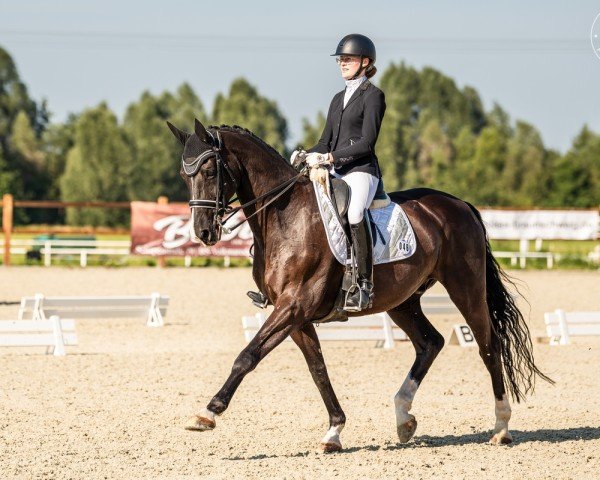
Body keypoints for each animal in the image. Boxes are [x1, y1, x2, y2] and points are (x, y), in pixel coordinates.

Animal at [166, 118, 552, 452]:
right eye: (184, 176)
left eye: (210, 171)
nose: (203, 232)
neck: (285, 218)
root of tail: (461, 205)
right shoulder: (296, 315)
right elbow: (318, 370)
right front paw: (334, 431)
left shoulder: (294, 306)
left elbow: (247, 356)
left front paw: (207, 413)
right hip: (403, 300)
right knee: (430, 342)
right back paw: (403, 418)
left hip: (466, 289)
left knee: (488, 345)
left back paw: (501, 427)